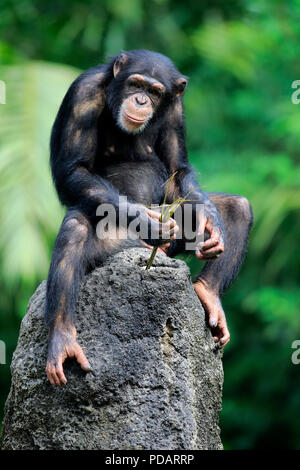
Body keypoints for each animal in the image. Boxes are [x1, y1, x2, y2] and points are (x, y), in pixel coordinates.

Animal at [45, 49, 253, 386]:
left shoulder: (177, 109)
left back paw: (208, 294)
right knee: (76, 228)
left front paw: (210, 219)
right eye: (135, 83)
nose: (141, 100)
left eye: (155, 92)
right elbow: (74, 169)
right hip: (116, 244)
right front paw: (148, 223)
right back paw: (62, 338)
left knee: (240, 207)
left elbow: (178, 166)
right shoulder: (83, 93)